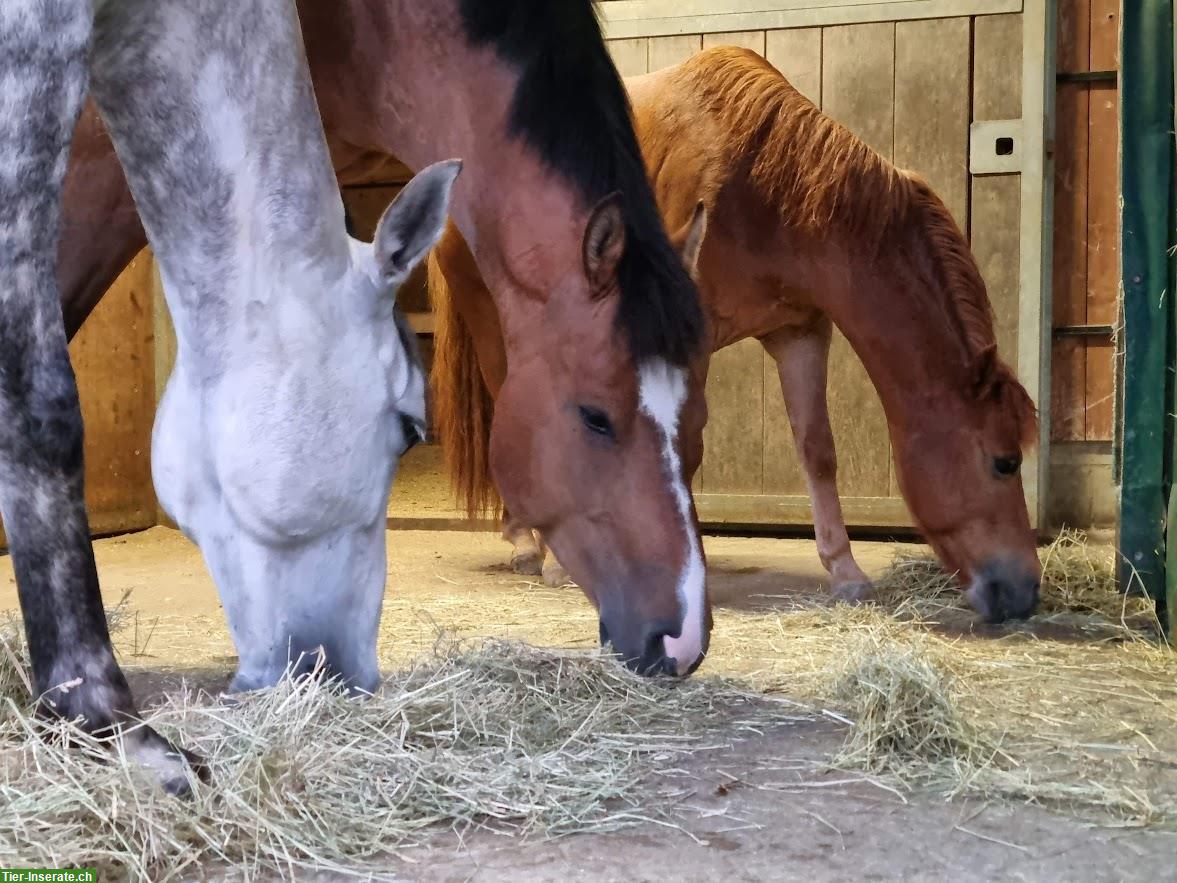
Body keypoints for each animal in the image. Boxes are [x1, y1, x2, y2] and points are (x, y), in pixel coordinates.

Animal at [430, 48, 1040, 626]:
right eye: (1004, 461)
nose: (1026, 592)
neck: (765, 182)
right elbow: (686, 447)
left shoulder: (799, 332)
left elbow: (817, 449)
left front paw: (844, 570)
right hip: (492, 315)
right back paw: (532, 547)